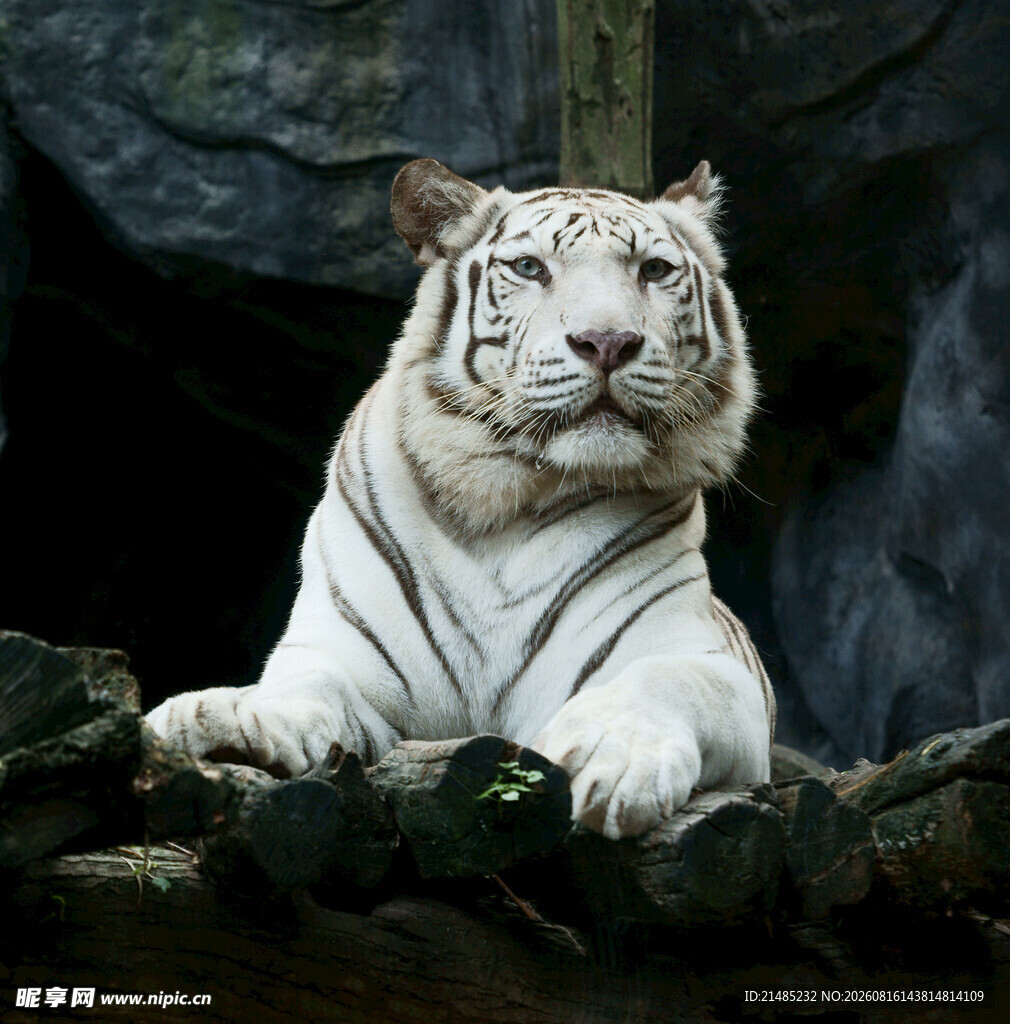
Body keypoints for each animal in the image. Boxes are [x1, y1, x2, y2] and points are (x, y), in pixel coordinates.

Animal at [146, 157, 775, 840]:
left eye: (653, 270)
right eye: (529, 267)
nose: (607, 341)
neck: (507, 504)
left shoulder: (696, 657)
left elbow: (664, 681)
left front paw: (614, 757)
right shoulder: (346, 655)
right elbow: (304, 687)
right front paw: (230, 723)